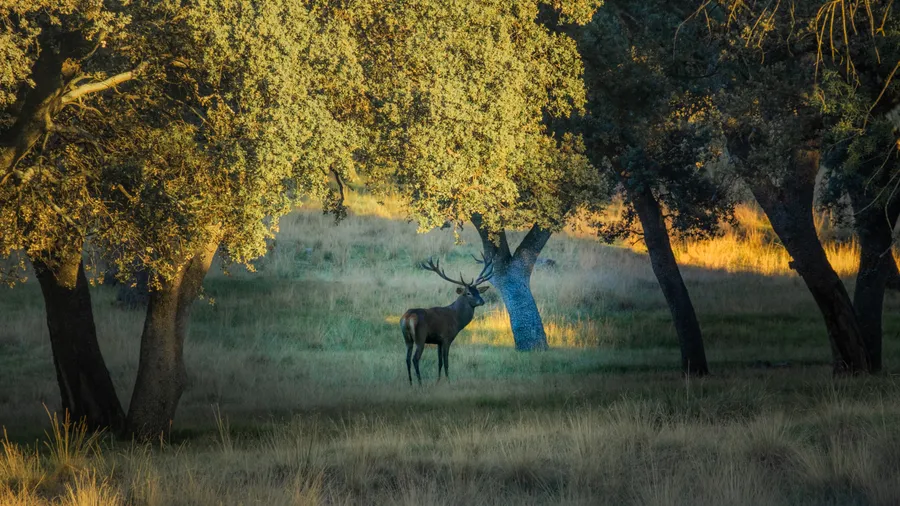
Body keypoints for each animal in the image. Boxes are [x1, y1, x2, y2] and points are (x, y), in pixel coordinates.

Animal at [400, 255, 494, 385]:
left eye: (478, 291)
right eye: (468, 293)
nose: (482, 301)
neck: (457, 319)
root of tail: (407, 317)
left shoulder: (438, 341)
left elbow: (439, 362)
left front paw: (438, 381)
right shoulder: (447, 338)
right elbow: (446, 362)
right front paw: (448, 381)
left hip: (407, 338)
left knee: (407, 359)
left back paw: (410, 383)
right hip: (420, 337)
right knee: (415, 359)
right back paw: (420, 383)